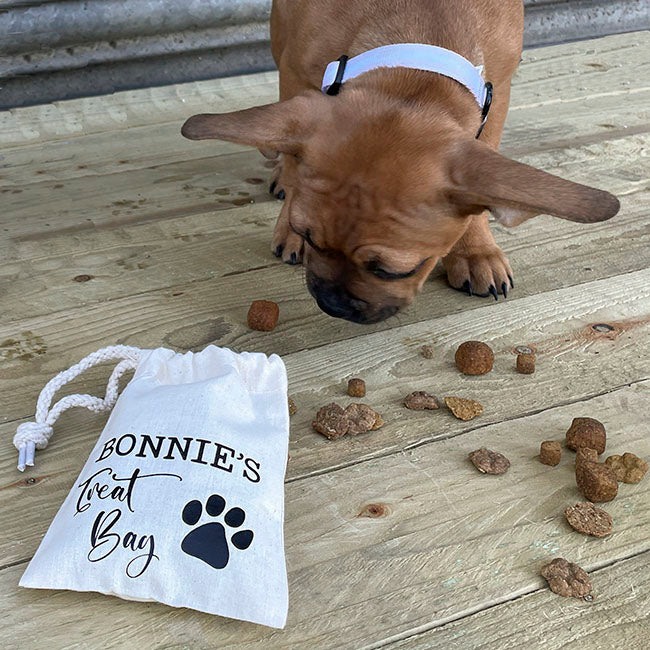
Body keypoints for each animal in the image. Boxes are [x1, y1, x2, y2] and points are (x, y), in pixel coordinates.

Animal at [181, 0, 616, 322]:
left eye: (395, 271)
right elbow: (291, 148)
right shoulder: (297, 78)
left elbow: (484, 179)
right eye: (309, 236)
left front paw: (475, 250)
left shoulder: (497, 96)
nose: (331, 304)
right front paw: (289, 216)